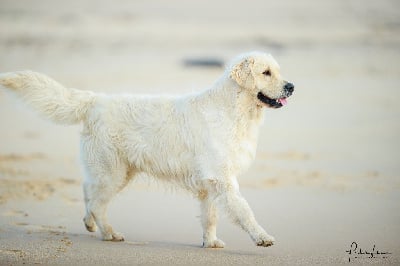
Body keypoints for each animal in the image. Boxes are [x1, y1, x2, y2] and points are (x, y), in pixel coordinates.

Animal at [0, 52, 294, 247]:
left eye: (278, 72)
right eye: (266, 73)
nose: (291, 86)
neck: (233, 110)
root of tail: (95, 100)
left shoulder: (209, 181)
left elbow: (210, 217)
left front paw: (210, 242)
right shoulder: (222, 177)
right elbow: (244, 210)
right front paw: (262, 237)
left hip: (113, 171)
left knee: (87, 190)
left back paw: (90, 224)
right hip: (114, 172)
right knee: (97, 202)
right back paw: (110, 233)